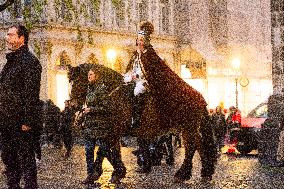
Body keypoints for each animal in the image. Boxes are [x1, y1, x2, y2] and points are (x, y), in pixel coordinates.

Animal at [67, 63, 216, 183]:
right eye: (70, 82)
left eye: (79, 82)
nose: (72, 105)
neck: (112, 95)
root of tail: (198, 95)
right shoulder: (111, 131)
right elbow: (111, 151)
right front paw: (117, 172)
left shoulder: (114, 130)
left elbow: (103, 151)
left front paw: (102, 173)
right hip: (188, 128)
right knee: (198, 145)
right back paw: (204, 172)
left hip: (187, 128)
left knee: (191, 147)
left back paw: (183, 174)